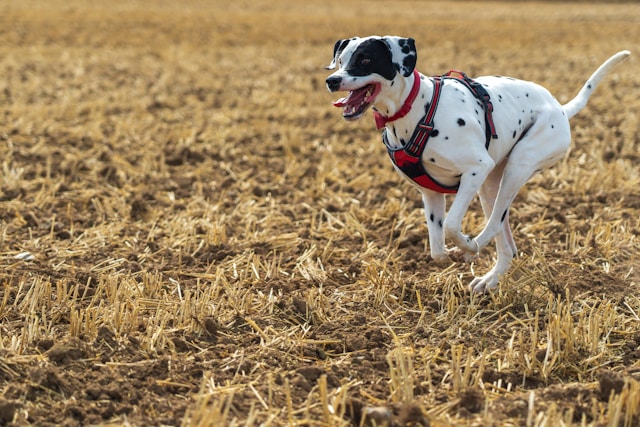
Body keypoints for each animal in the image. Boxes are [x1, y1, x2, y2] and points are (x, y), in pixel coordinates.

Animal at [324, 36, 632, 294]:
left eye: (365, 59)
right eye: (341, 59)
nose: (332, 80)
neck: (418, 110)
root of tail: (561, 109)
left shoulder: (476, 169)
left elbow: (451, 225)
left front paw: (466, 247)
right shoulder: (430, 194)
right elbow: (437, 249)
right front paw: (451, 255)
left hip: (515, 168)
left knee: (495, 222)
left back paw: (474, 248)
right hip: (490, 184)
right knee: (506, 243)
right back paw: (490, 279)